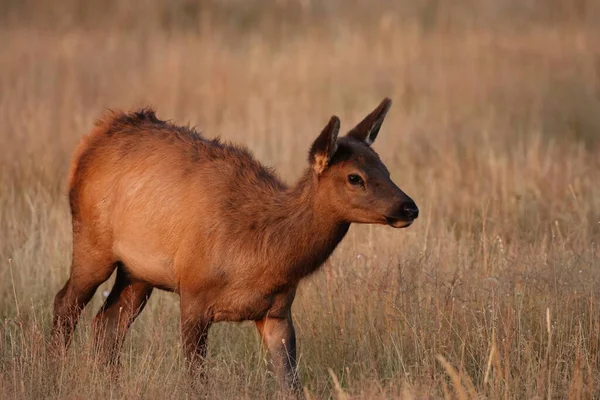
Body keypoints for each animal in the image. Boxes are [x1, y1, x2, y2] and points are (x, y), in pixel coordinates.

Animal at [50, 99, 418, 394]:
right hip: (92, 240)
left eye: (385, 169)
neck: (263, 257)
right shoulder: (194, 293)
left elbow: (290, 384)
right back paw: (54, 374)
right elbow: (197, 380)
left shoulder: (278, 311)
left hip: (138, 272)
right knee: (66, 303)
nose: (409, 207)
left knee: (107, 324)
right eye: (355, 177)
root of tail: (95, 136)